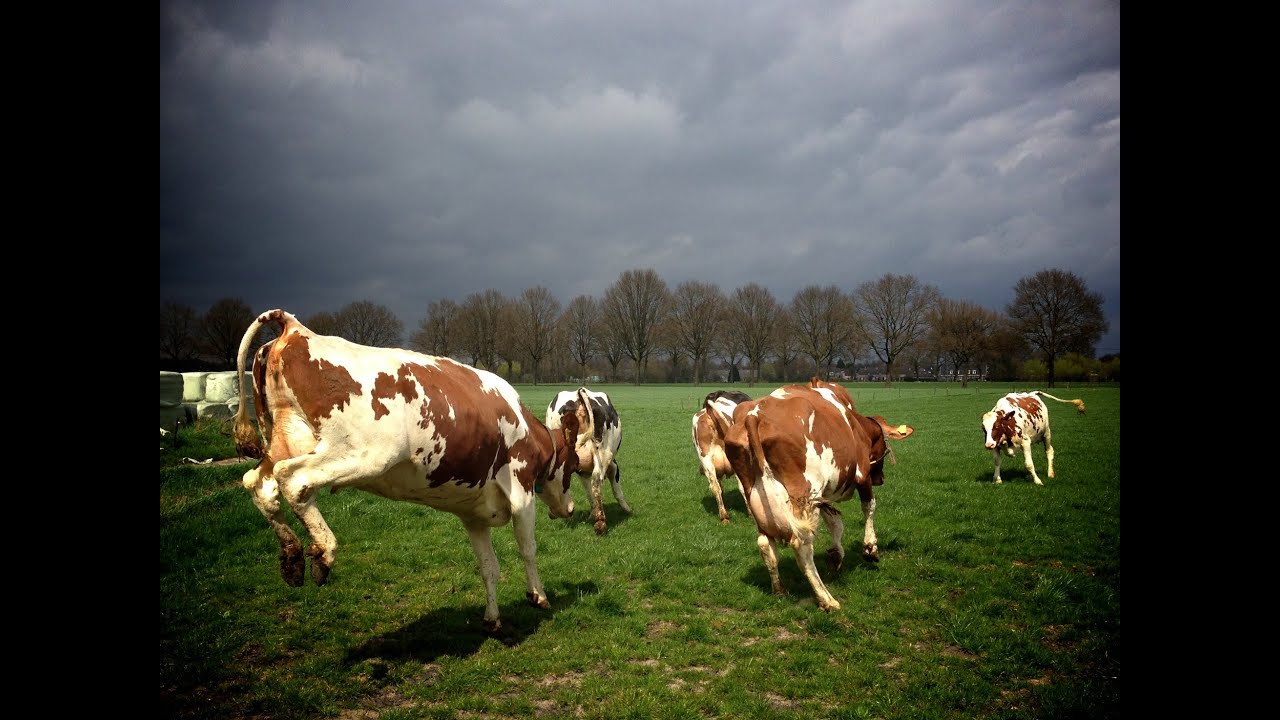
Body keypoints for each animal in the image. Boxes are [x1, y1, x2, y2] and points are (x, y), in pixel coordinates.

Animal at [230, 309, 581, 632]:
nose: (571, 508)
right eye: (574, 466)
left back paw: (292, 558)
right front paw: (538, 596)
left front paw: (492, 618)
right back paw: (324, 552)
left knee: (259, 484)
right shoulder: (521, 493)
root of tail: (296, 328)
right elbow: (528, 549)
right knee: (295, 479)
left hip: (286, 441)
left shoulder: (474, 515)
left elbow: (488, 567)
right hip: (362, 454)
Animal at [545, 387, 630, 535]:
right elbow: (616, 489)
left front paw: (592, 514)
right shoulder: (612, 464)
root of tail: (579, 392)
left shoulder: (581, 470)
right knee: (596, 481)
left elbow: (589, 493)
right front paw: (626, 509)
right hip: (603, 451)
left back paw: (555, 511)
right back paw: (601, 523)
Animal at [704, 377, 914, 611]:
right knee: (802, 546)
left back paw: (779, 590)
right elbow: (869, 507)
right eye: (884, 444)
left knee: (766, 544)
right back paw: (826, 598)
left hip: (759, 502)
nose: (881, 478)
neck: (854, 422)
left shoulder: (822, 496)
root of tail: (754, 416)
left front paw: (836, 556)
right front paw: (870, 548)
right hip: (804, 493)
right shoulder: (862, 475)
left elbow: (835, 522)